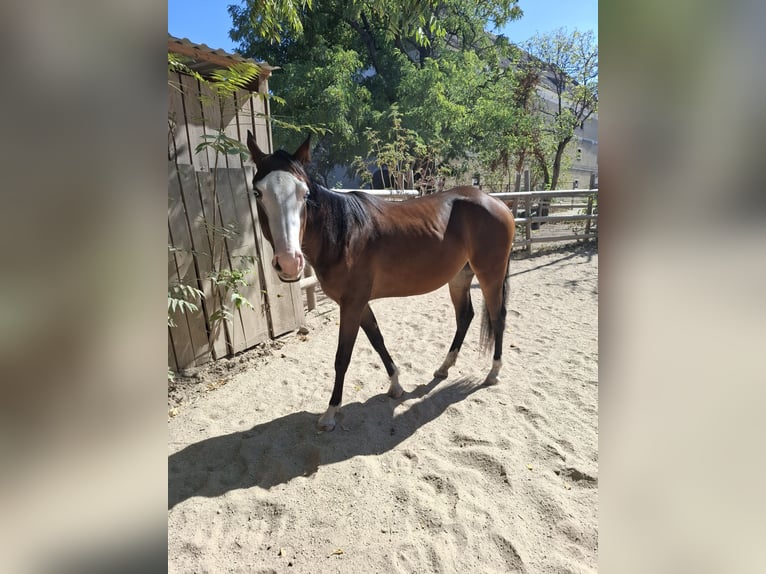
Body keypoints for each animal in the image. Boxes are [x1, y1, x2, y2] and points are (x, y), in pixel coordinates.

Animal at [246, 131, 516, 431]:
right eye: (258, 193)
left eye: (304, 194)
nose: (289, 262)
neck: (343, 234)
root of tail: (497, 203)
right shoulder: (359, 304)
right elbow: (377, 340)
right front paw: (395, 385)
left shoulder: (351, 304)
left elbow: (342, 357)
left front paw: (330, 413)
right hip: (459, 277)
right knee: (465, 316)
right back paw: (444, 368)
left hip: (490, 275)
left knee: (498, 317)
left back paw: (493, 373)